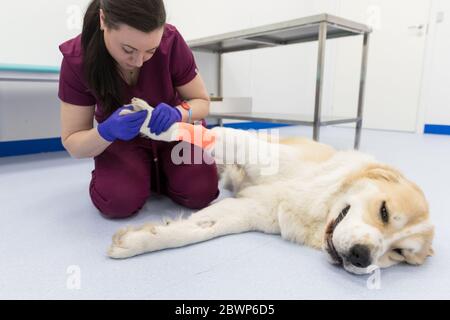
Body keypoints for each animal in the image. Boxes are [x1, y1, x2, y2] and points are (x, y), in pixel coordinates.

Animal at [107, 98, 434, 276]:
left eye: (399, 253)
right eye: (384, 211)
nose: (361, 257)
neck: (319, 204)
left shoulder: (246, 210)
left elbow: (192, 231)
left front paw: (137, 241)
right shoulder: (258, 151)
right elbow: (205, 134)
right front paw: (151, 120)